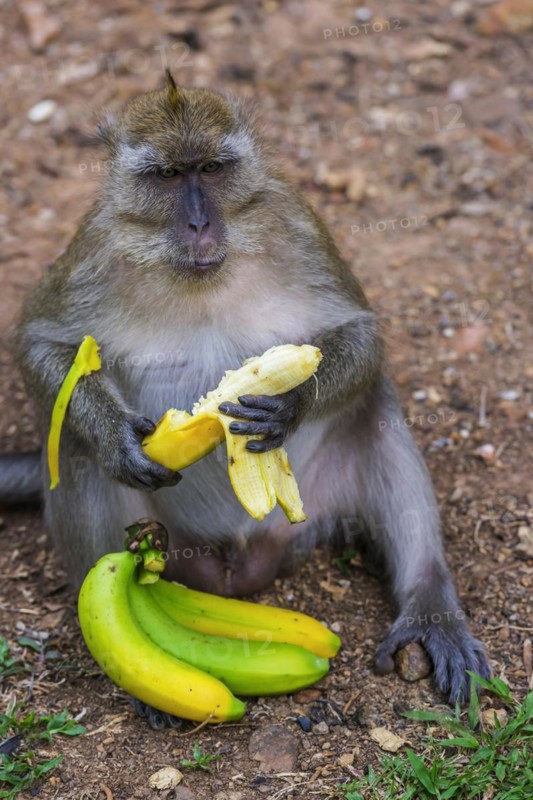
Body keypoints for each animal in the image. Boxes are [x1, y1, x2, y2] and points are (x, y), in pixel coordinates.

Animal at [3, 72, 490, 727]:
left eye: (211, 168)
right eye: (166, 175)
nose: (197, 224)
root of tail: (236, 566)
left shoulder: (297, 225)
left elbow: (361, 335)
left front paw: (290, 406)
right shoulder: (95, 248)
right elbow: (40, 342)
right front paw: (118, 439)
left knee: (375, 407)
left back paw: (429, 604)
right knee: (76, 450)